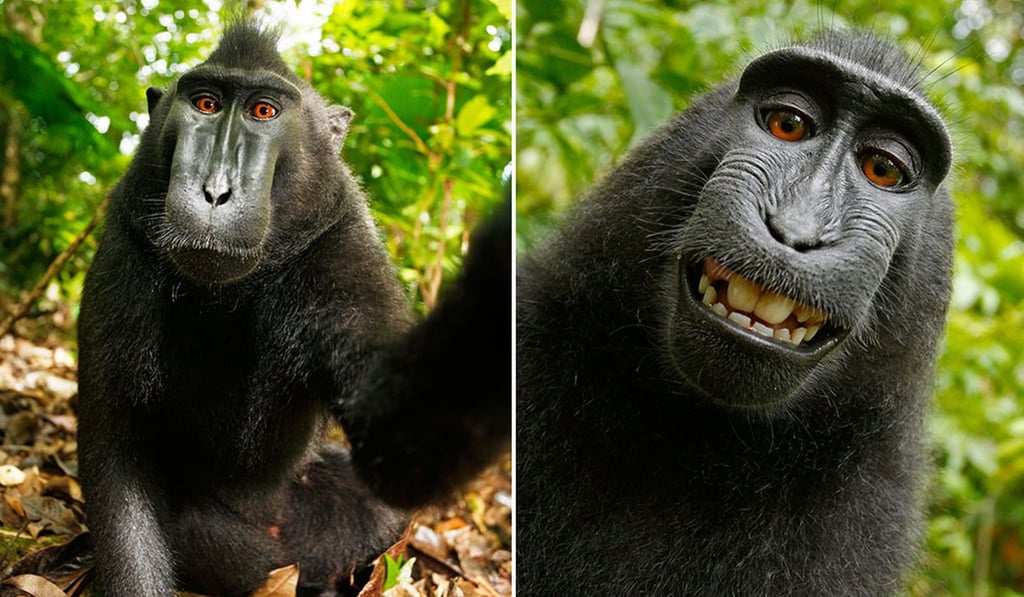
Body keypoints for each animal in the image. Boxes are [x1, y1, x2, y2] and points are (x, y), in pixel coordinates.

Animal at [76, 21, 510, 596]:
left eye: (264, 112)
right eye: (206, 104)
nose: (215, 191)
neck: (229, 289)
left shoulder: (343, 248)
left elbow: (404, 446)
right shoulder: (126, 247)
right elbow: (116, 452)